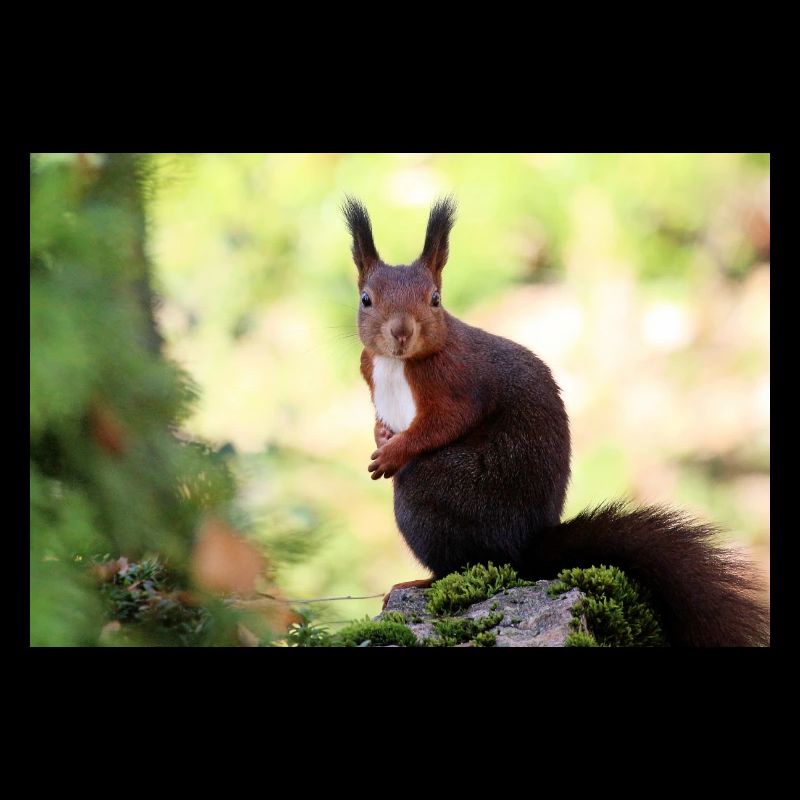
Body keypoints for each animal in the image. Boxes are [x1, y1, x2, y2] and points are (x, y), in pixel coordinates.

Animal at [343, 195, 770, 647]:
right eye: (366, 299)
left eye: (435, 299)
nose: (401, 332)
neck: (398, 364)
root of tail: (523, 549)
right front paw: (381, 437)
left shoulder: (458, 382)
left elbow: (445, 423)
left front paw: (393, 453)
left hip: (431, 495)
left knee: (462, 560)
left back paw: (420, 581)